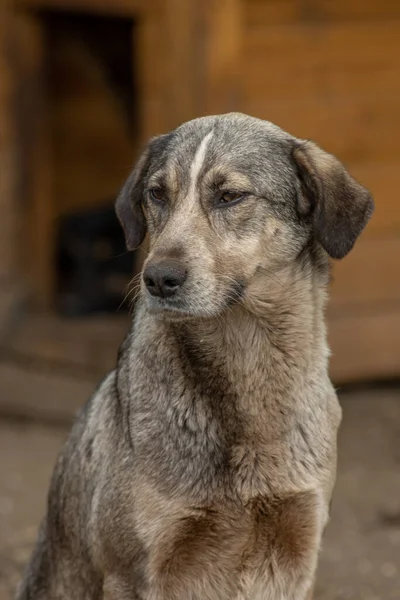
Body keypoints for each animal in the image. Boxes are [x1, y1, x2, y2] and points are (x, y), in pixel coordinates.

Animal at [18, 113, 376, 600]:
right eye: (156, 194)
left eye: (229, 196)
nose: (157, 278)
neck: (245, 361)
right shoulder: (137, 569)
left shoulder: (296, 550)